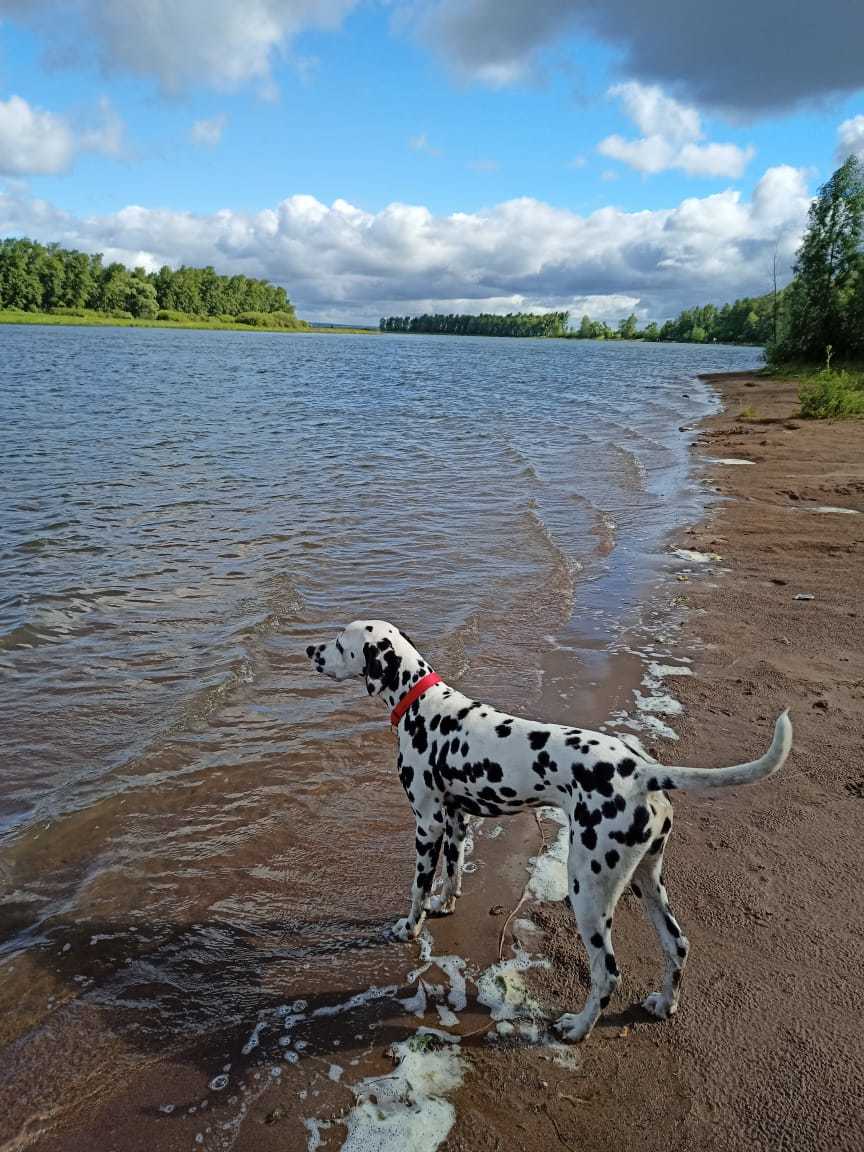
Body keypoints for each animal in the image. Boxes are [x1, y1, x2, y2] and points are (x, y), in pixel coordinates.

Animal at [308, 622, 797, 1046]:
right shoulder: (456, 819)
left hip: (588, 890)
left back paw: (578, 1028)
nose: (310, 650)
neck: (423, 705)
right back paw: (663, 1003)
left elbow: (416, 888)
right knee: (676, 945)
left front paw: (409, 927)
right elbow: (452, 872)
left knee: (607, 972)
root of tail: (643, 771)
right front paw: (445, 903)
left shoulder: (427, 823)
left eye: (339, 643)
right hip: (647, 880)